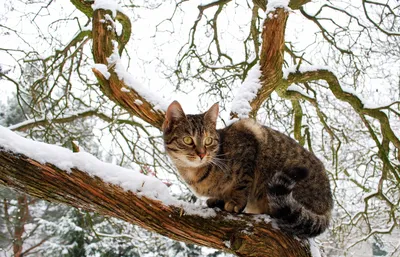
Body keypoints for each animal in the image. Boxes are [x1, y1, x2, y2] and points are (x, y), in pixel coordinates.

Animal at [161, 100, 332, 236]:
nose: (202, 154)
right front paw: (218, 200)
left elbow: (242, 183)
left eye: (208, 140)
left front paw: (235, 201)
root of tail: (329, 206)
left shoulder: (248, 141)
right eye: (188, 140)